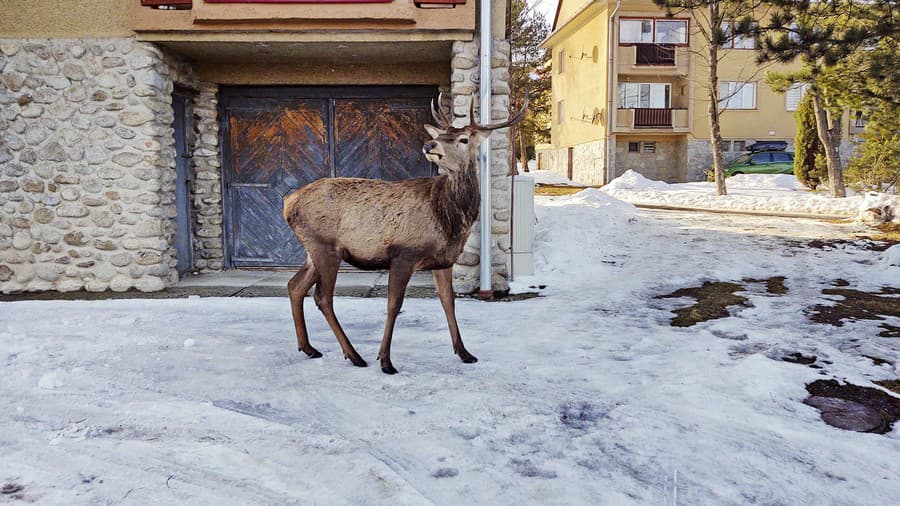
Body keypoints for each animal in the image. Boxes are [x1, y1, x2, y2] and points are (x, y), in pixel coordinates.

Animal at [282, 95, 528, 374]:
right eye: (441, 135)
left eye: (464, 139)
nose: (429, 144)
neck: (449, 219)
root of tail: (288, 202)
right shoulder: (403, 254)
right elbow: (394, 305)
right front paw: (385, 361)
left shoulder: (443, 261)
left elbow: (448, 301)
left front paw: (465, 352)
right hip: (325, 248)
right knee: (322, 297)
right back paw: (354, 355)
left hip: (313, 251)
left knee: (295, 286)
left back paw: (309, 348)